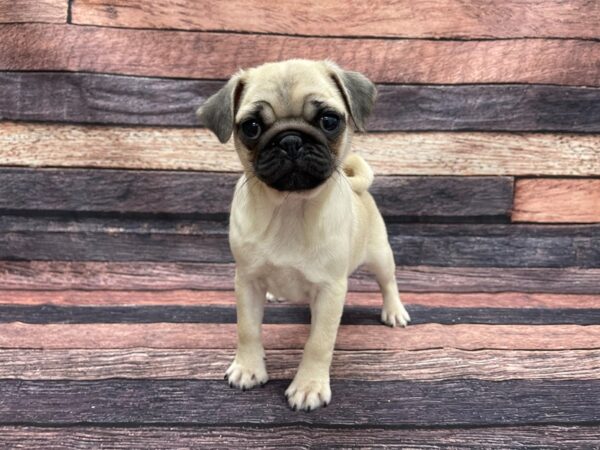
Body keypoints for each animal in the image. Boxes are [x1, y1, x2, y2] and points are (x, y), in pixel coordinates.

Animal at [199, 58, 410, 410]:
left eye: (329, 121)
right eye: (251, 127)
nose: (290, 140)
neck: (290, 208)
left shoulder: (330, 291)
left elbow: (318, 342)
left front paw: (308, 386)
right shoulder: (247, 281)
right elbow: (248, 329)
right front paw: (248, 368)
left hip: (380, 255)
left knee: (388, 282)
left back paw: (394, 311)